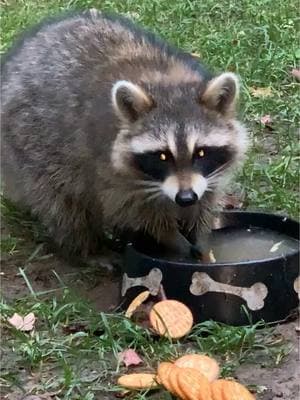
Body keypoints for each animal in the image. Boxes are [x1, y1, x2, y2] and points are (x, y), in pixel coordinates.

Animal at [0, 10, 248, 260]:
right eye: (162, 156)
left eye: (201, 152)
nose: (185, 198)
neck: (166, 84)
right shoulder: (107, 170)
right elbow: (134, 211)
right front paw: (172, 238)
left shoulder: (209, 175)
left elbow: (205, 201)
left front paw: (200, 238)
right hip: (31, 145)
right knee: (62, 204)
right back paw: (88, 249)